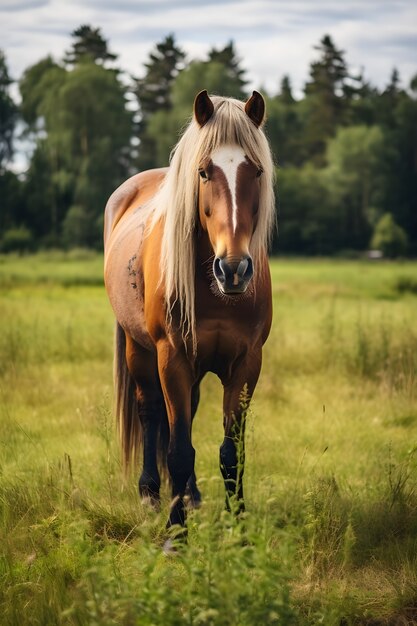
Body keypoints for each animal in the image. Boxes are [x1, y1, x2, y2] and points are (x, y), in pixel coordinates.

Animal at [103, 88, 274, 536]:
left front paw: (239, 530)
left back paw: (192, 495)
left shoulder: (247, 362)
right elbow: (178, 448)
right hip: (139, 350)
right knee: (150, 412)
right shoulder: (172, 356)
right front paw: (175, 534)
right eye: (203, 172)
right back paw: (150, 492)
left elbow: (231, 452)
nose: (234, 269)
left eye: (256, 172)